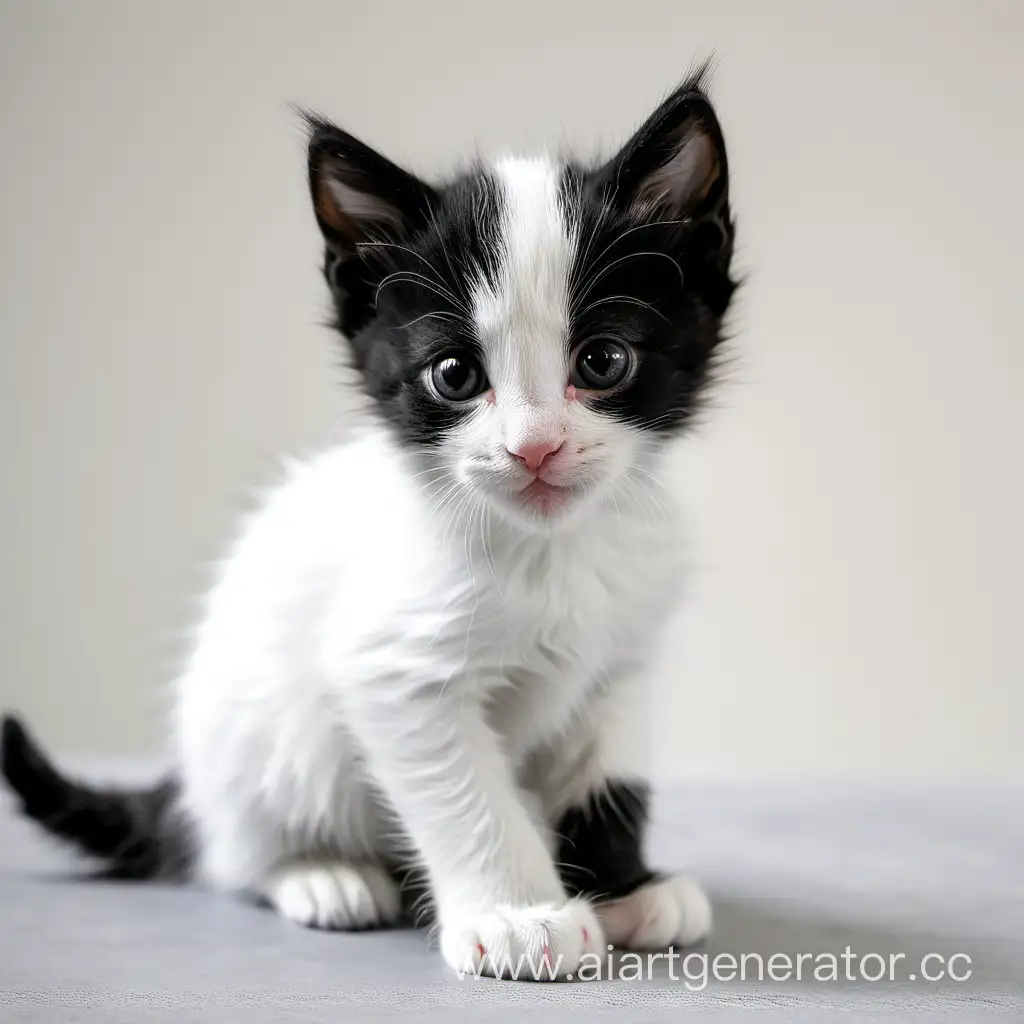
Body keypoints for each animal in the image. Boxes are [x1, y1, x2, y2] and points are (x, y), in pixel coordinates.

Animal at [0, 68, 737, 978]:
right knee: (234, 855)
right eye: (454, 375)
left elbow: (607, 775)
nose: (535, 447)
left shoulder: (622, 659)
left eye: (603, 361)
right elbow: (469, 795)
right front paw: (521, 912)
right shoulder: (394, 670)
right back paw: (323, 875)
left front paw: (627, 887)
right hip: (254, 742)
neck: (550, 550)